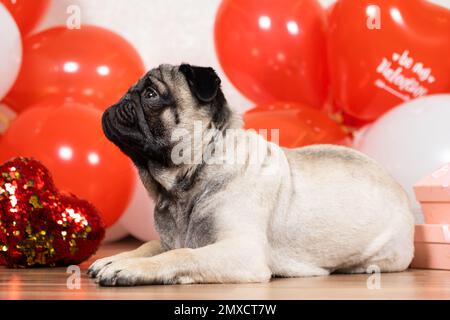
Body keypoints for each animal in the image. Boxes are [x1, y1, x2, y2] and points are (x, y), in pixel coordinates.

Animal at [88, 63, 414, 286]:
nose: (122, 99)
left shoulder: (241, 250)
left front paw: (131, 269)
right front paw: (116, 258)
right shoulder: (170, 239)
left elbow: (182, 255)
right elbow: (150, 246)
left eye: (151, 95)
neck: (188, 180)